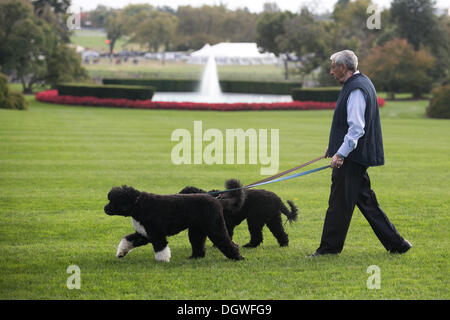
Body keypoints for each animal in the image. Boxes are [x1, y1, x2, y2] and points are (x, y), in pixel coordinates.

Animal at [103, 179, 244, 262]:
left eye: (112, 201)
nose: (105, 208)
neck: (138, 204)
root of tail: (217, 200)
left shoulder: (156, 233)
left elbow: (161, 249)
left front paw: (163, 261)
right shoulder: (144, 234)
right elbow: (128, 240)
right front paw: (121, 253)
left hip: (215, 227)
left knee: (227, 242)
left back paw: (238, 257)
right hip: (197, 230)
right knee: (198, 244)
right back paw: (194, 257)